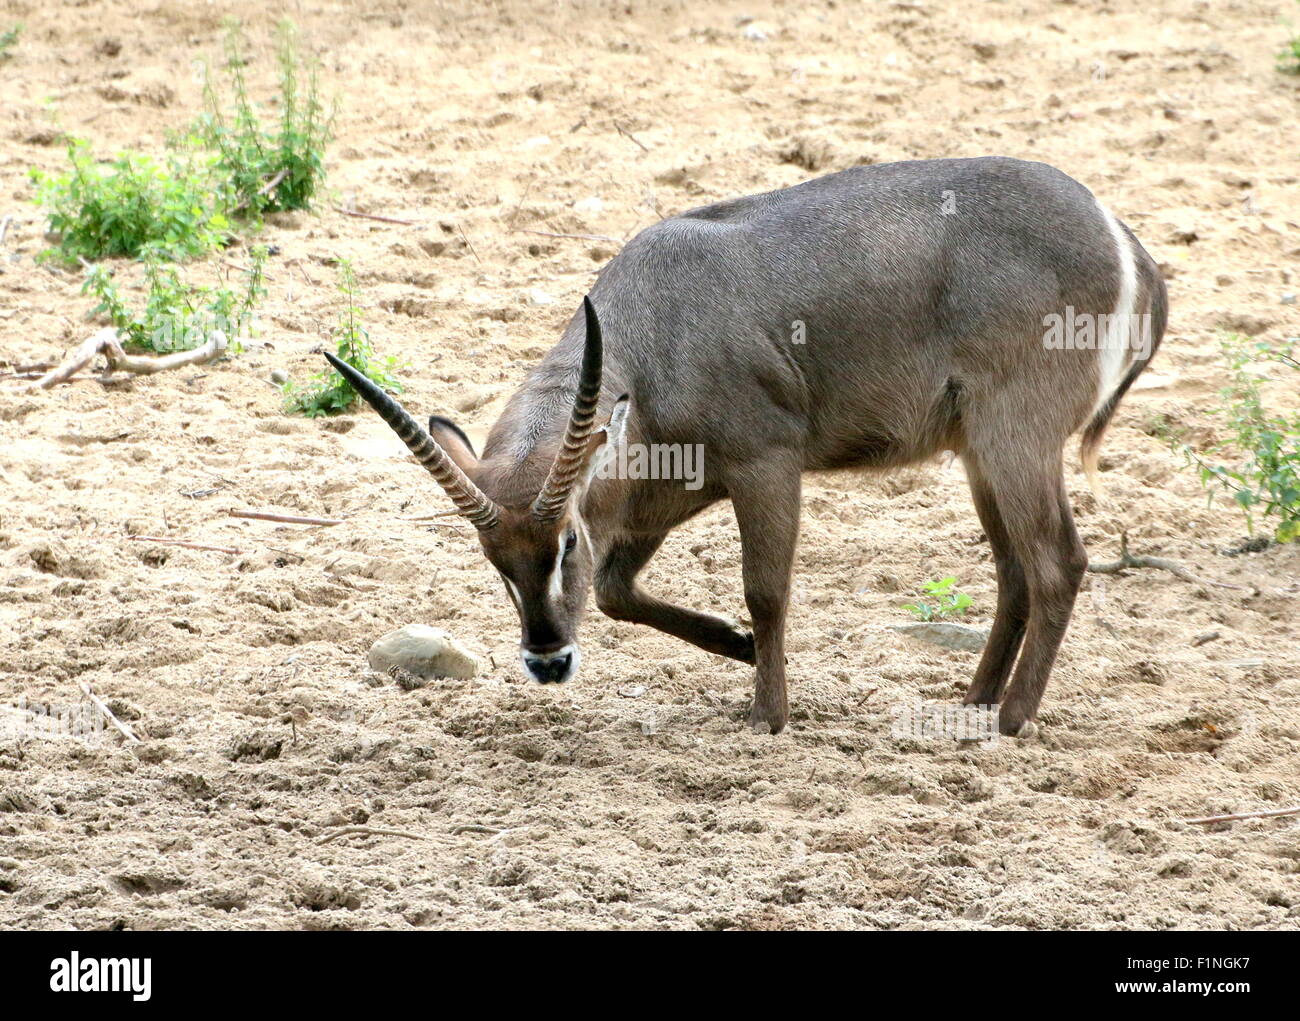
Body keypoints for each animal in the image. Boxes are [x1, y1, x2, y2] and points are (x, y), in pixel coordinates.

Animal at [327, 155, 1170, 733]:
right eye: (493, 559)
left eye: (564, 538)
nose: (547, 659)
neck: (653, 330)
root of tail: (1121, 235)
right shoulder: (660, 496)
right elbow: (618, 590)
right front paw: (732, 646)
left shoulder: (765, 464)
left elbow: (764, 590)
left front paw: (768, 710)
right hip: (977, 452)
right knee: (1015, 572)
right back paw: (974, 698)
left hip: (1013, 435)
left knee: (1058, 563)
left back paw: (1010, 719)